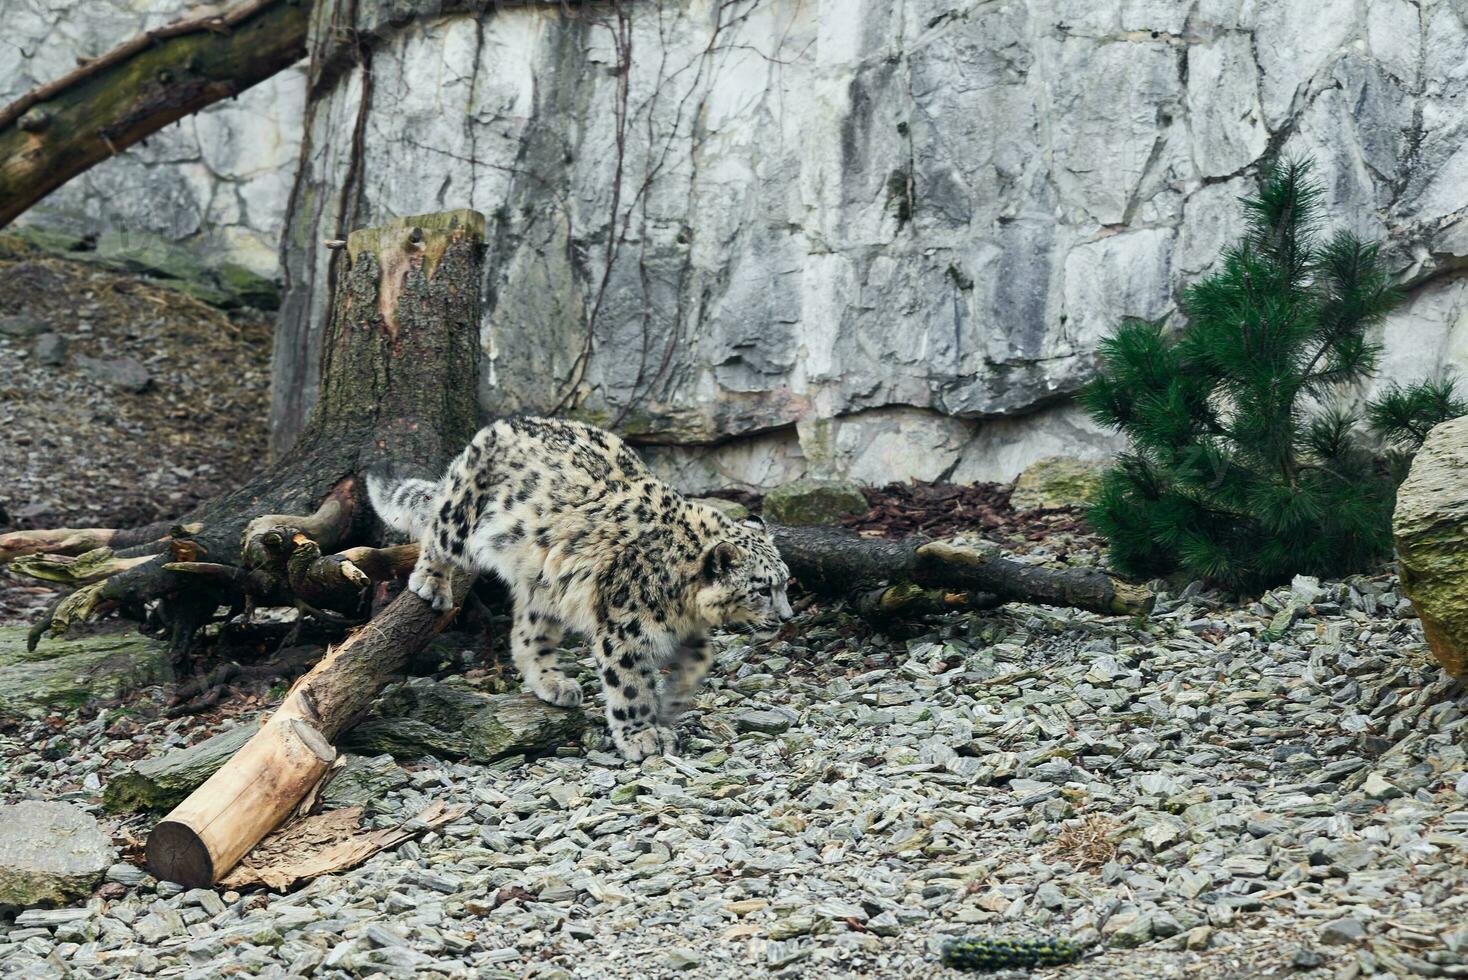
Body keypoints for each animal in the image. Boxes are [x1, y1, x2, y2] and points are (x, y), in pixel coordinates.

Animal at [367, 416, 792, 762]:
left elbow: (703, 656)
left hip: (544, 587)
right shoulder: (625, 630)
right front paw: (641, 736)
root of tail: (496, 427)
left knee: (528, 635)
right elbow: (630, 686)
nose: (787, 617)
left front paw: (673, 700)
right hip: (462, 520)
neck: (683, 604)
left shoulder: (685, 627)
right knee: (437, 532)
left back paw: (553, 683)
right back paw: (431, 583)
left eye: (786, 582)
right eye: (762, 589)